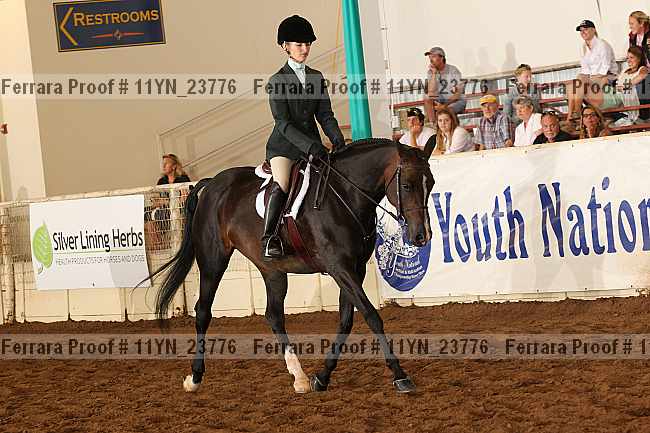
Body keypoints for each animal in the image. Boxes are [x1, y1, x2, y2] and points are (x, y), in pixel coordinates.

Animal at [148, 138, 435, 394]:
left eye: (430, 184)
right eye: (406, 185)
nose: (422, 236)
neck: (344, 195)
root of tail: (211, 184)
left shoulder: (355, 269)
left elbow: (346, 321)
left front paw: (322, 377)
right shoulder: (339, 267)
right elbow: (372, 316)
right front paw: (400, 376)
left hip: (272, 270)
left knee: (274, 315)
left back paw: (300, 378)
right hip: (212, 260)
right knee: (203, 312)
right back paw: (195, 378)